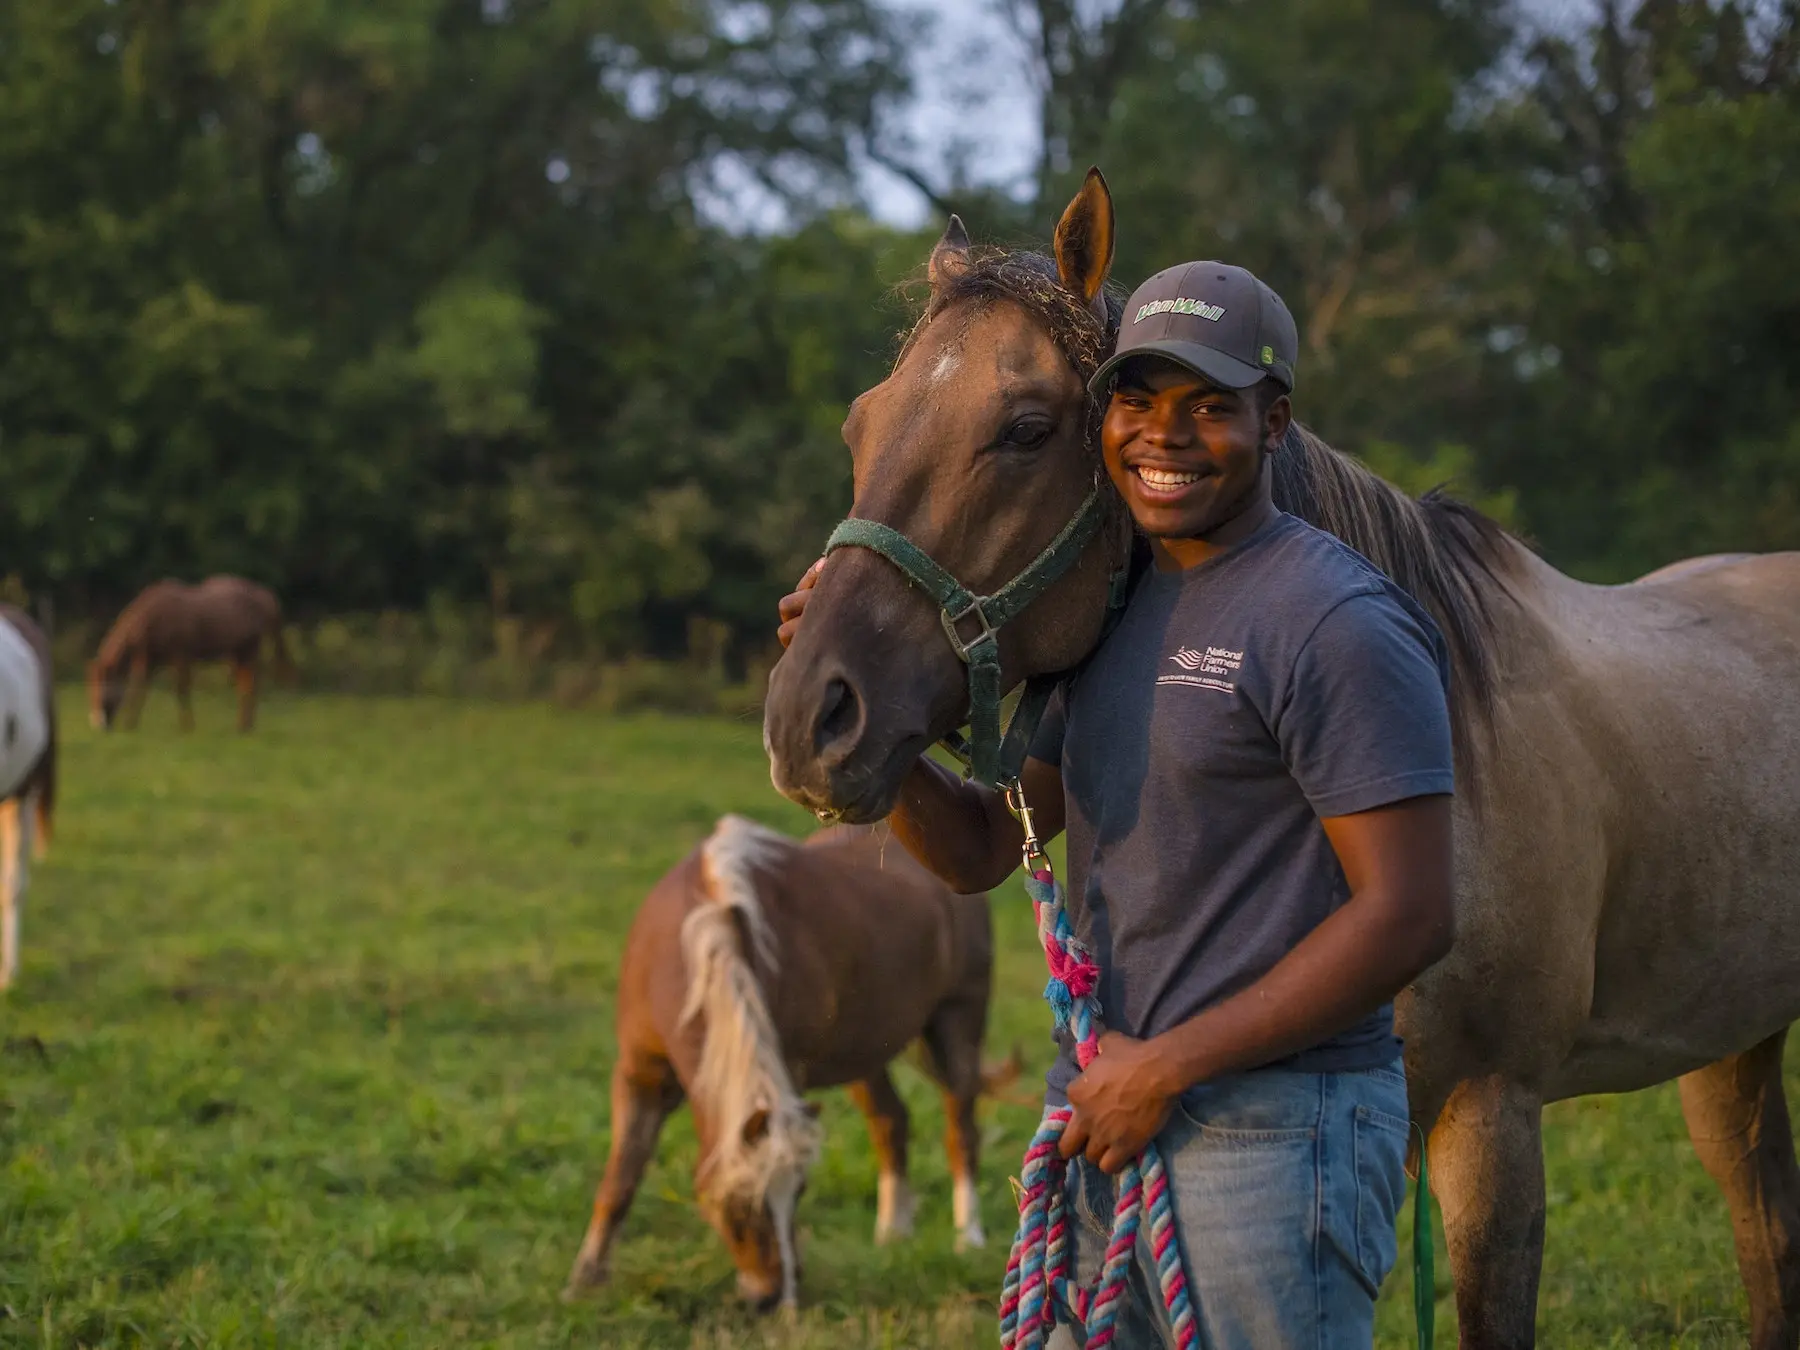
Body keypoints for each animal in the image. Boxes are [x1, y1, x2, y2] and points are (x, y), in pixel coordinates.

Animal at [90, 576, 293, 734]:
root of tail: (263, 594)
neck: (154, 617)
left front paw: (187, 728)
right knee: (246, 686)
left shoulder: (181, 658)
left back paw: (245, 727)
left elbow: (181, 690)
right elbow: (139, 690)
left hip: (249, 650)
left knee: (251, 686)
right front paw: (130, 725)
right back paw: (243, 726)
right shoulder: (148, 661)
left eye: (102, 688)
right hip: (238, 654)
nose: (99, 726)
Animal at [561, 813, 1015, 1310]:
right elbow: (621, 1178)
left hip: (959, 1018)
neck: (701, 942)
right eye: (735, 1203)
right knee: (890, 1121)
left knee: (961, 1130)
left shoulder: (788, 1072)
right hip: (863, 1050)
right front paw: (584, 1281)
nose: (774, 1297)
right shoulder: (638, 1074)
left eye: (799, 1191)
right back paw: (893, 1234)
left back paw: (968, 1238)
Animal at [756, 171, 1800, 1350]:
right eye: (862, 423)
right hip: (1733, 1037)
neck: (1457, 745)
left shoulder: (1494, 1116)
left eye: (1024, 429)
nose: (809, 719)